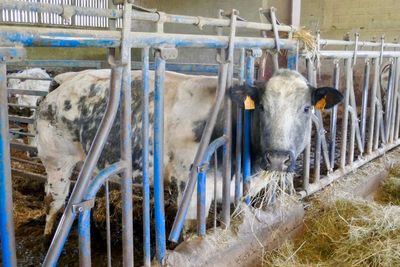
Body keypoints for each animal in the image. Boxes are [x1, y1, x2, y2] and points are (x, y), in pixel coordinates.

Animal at [36, 68, 342, 237]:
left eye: (306, 108)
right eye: (263, 107)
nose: (278, 157)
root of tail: (65, 79)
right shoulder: (191, 189)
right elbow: (192, 230)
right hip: (56, 161)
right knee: (54, 200)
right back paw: (49, 234)